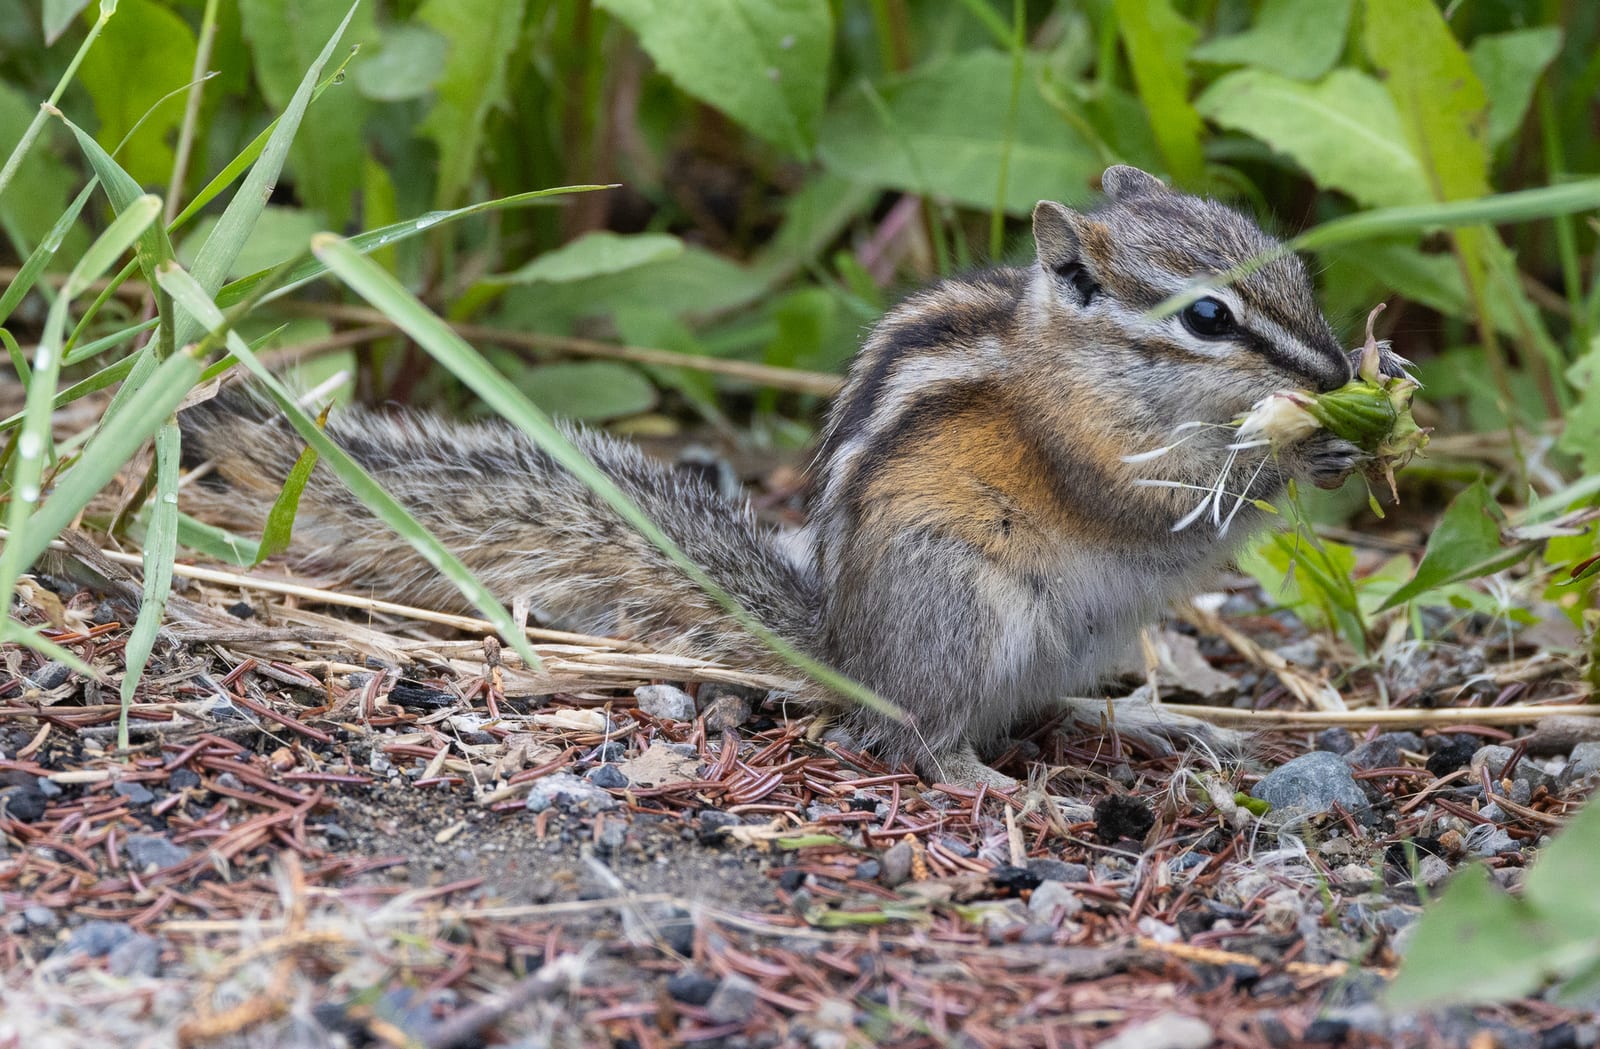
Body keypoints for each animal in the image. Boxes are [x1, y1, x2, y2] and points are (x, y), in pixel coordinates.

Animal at [180, 165, 1403, 789]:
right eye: (1207, 317)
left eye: (1294, 270)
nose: (1334, 371)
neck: (1081, 362)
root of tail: (846, 653)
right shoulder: (1084, 452)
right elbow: (1158, 508)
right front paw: (1297, 447)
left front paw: (1361, 417)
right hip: (966, 606)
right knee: (923, 734)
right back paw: (985, 778)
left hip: (1068, 638)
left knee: (1037, 705)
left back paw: (1148, 726)